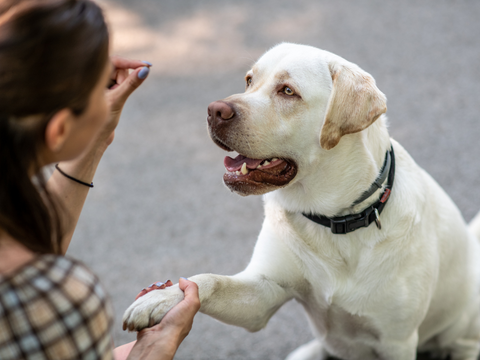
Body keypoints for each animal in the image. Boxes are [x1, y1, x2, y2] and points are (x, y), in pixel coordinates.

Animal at [124, 43, 480, 360]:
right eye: (249, 80)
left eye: (288, 91)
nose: (214, 110)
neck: (334, 220)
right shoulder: (262, 294)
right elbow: (207, 281)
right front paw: (161, 298)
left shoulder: (396, 341)